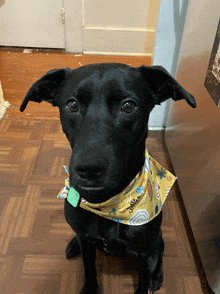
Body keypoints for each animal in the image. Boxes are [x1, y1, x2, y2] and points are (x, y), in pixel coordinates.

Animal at [20, 64, 196, 294]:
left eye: (128, 106)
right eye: (72, 105)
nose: (89, 169)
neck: (107, 203)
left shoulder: (145, 252)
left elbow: (143, 279)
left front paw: (151, 278)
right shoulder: (87, 243)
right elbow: (89, 269)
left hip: (156, 240)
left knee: (161, 250)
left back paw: (157, 276)